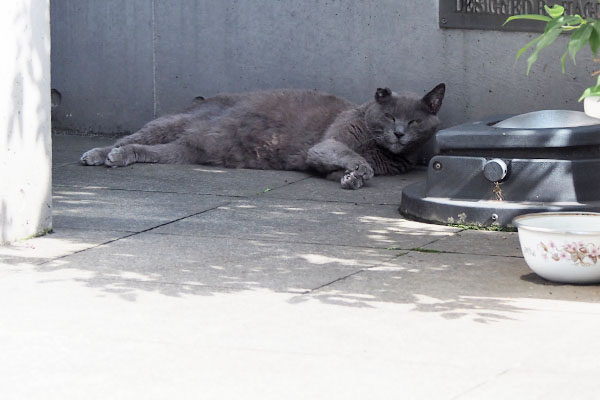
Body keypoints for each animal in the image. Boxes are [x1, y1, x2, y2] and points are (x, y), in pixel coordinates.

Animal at [81, 83, 446, 190]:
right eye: (390, 117)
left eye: (414, 121)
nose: (399, 133)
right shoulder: (328, 142)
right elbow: (349, 155)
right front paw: (360, 171)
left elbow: (338, 168)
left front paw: (350, 177)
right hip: (177, 121)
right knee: (131, 137)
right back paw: (101, 154)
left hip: (184, 151)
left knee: (148, 150)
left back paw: (117, 158)